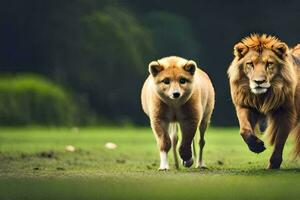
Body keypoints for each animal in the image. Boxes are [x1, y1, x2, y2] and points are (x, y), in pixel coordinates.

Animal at [227, 33, 300, 169]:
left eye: (269, 64)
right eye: (250, 64)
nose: (259, 82)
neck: (264, 96)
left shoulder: (287, 112)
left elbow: (279, 140)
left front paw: (273, 165)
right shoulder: (245, 105)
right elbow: (244, 130)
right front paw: (256, 146)